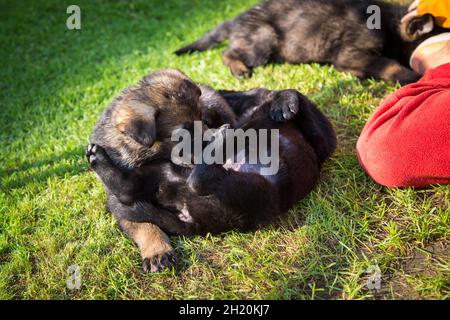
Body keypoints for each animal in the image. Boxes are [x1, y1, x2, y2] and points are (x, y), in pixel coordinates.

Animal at [175, 0, 446, 85]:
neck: (390, 23)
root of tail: (235, 20)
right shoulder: (352, 53)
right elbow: (389, 64)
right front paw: (412, 77)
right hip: (263, 39)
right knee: (228, 53)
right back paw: (239, 69)